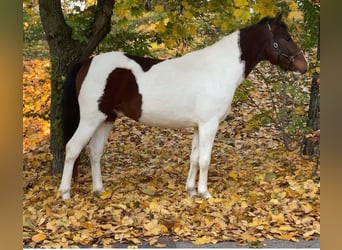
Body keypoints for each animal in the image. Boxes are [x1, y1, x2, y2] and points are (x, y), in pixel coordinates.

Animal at [58, 12, 308, 199]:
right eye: (286, 38)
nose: (303, 65)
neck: (218, 68)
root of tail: (87, 62)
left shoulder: (198, 126)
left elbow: (195, 158)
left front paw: (191, 190)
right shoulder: (209, 125)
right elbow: (205, 159)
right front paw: (205, 193)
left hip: (106, 118)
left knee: (94, 151)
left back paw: (99, 190)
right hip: (90, 119)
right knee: (72, 149)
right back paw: (65, 193)